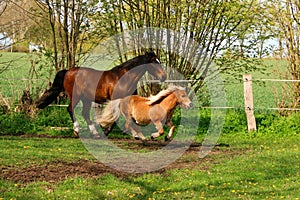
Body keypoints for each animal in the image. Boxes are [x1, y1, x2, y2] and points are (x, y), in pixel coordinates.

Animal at [36, 51, 166, 138]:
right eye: (154, 62)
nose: (164, 77)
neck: (125, 78)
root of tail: (68, 71)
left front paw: (135, 133)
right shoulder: (116, 99)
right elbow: (116, 117)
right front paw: (107, 131)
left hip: (86, 99)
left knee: (84, 113)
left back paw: (95, 133)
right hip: (76, 96)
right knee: (70, 109)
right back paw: (77, 131)